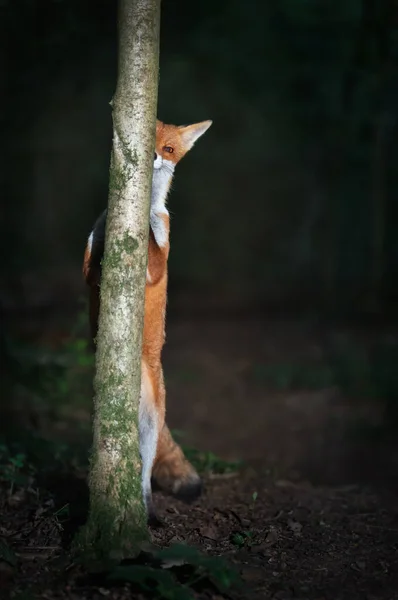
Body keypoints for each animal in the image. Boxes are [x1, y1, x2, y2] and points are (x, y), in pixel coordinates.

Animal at [81, 117, 211, 520]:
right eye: (148, 137)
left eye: (168, 149)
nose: (153, 156)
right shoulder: (88, 268)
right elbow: (92, 259)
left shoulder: (158, 261)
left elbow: (154, 244)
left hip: (152, 422)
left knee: (146, 467)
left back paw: (147, 508)